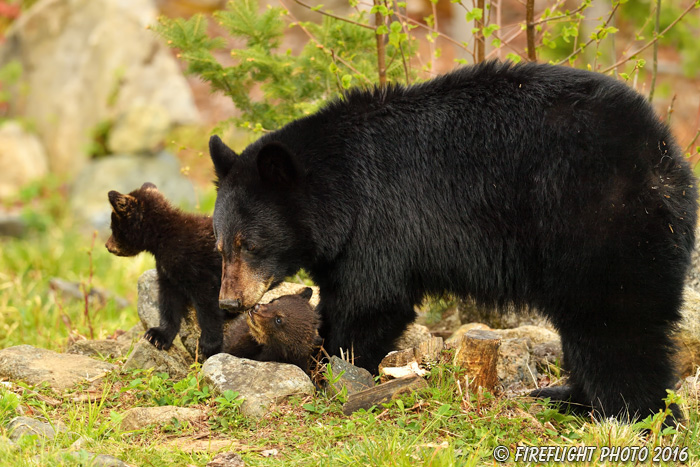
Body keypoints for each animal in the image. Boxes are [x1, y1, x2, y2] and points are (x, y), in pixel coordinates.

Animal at [206, 60, 696, 422]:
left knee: (614, 324)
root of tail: (662, 152)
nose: (229, 302)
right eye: (220, 245)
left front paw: (332, 365)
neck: (339, 187)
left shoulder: (381, 219)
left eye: (250, 243)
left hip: (597, 223)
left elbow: (371, 300)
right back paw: (565, 397)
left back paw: (633, 414)